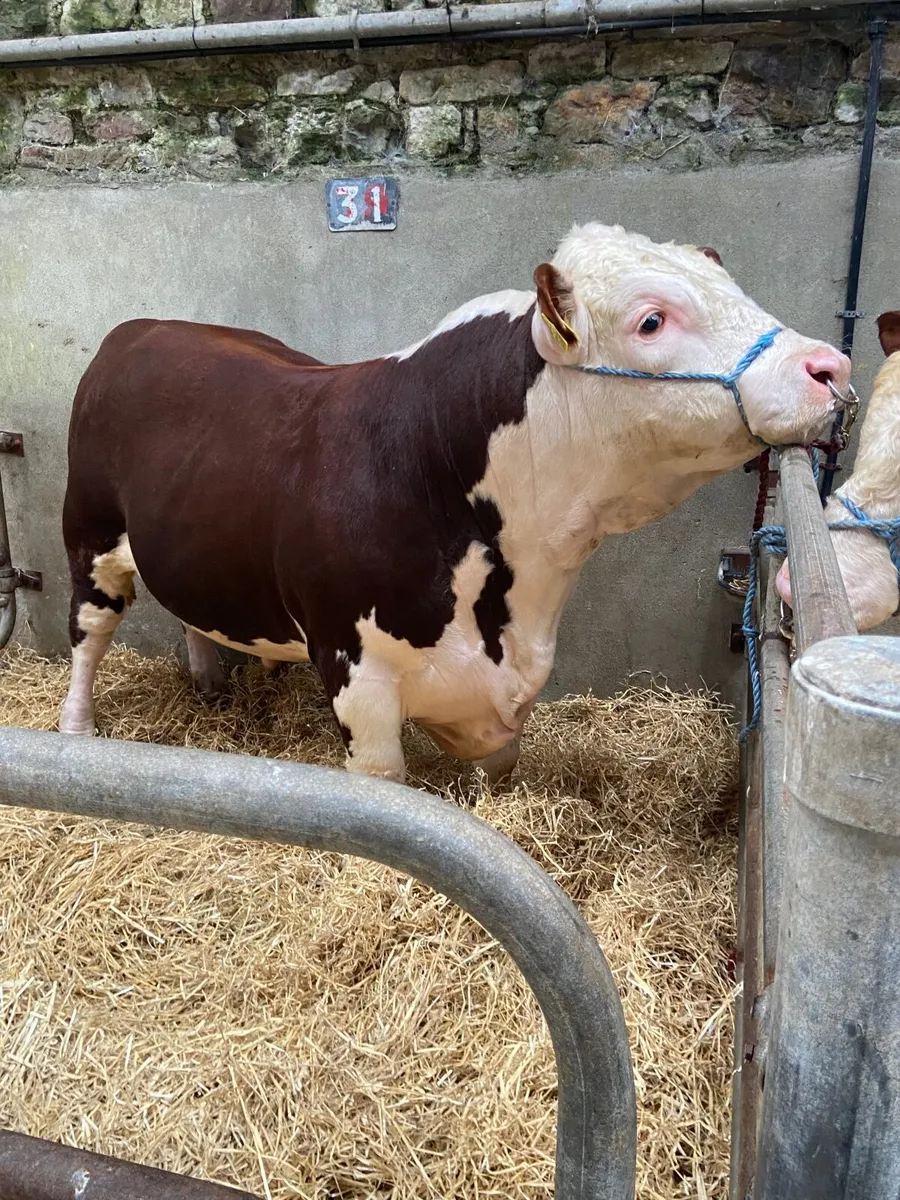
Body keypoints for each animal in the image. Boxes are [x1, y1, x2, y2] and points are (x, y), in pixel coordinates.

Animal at [60, 222, 852, 784]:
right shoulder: (355, 675)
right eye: (651, 320)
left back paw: (209, 687)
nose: (829, 366)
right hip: (89, 539)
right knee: (88, 637)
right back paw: (75, 732)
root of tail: (145, 327)